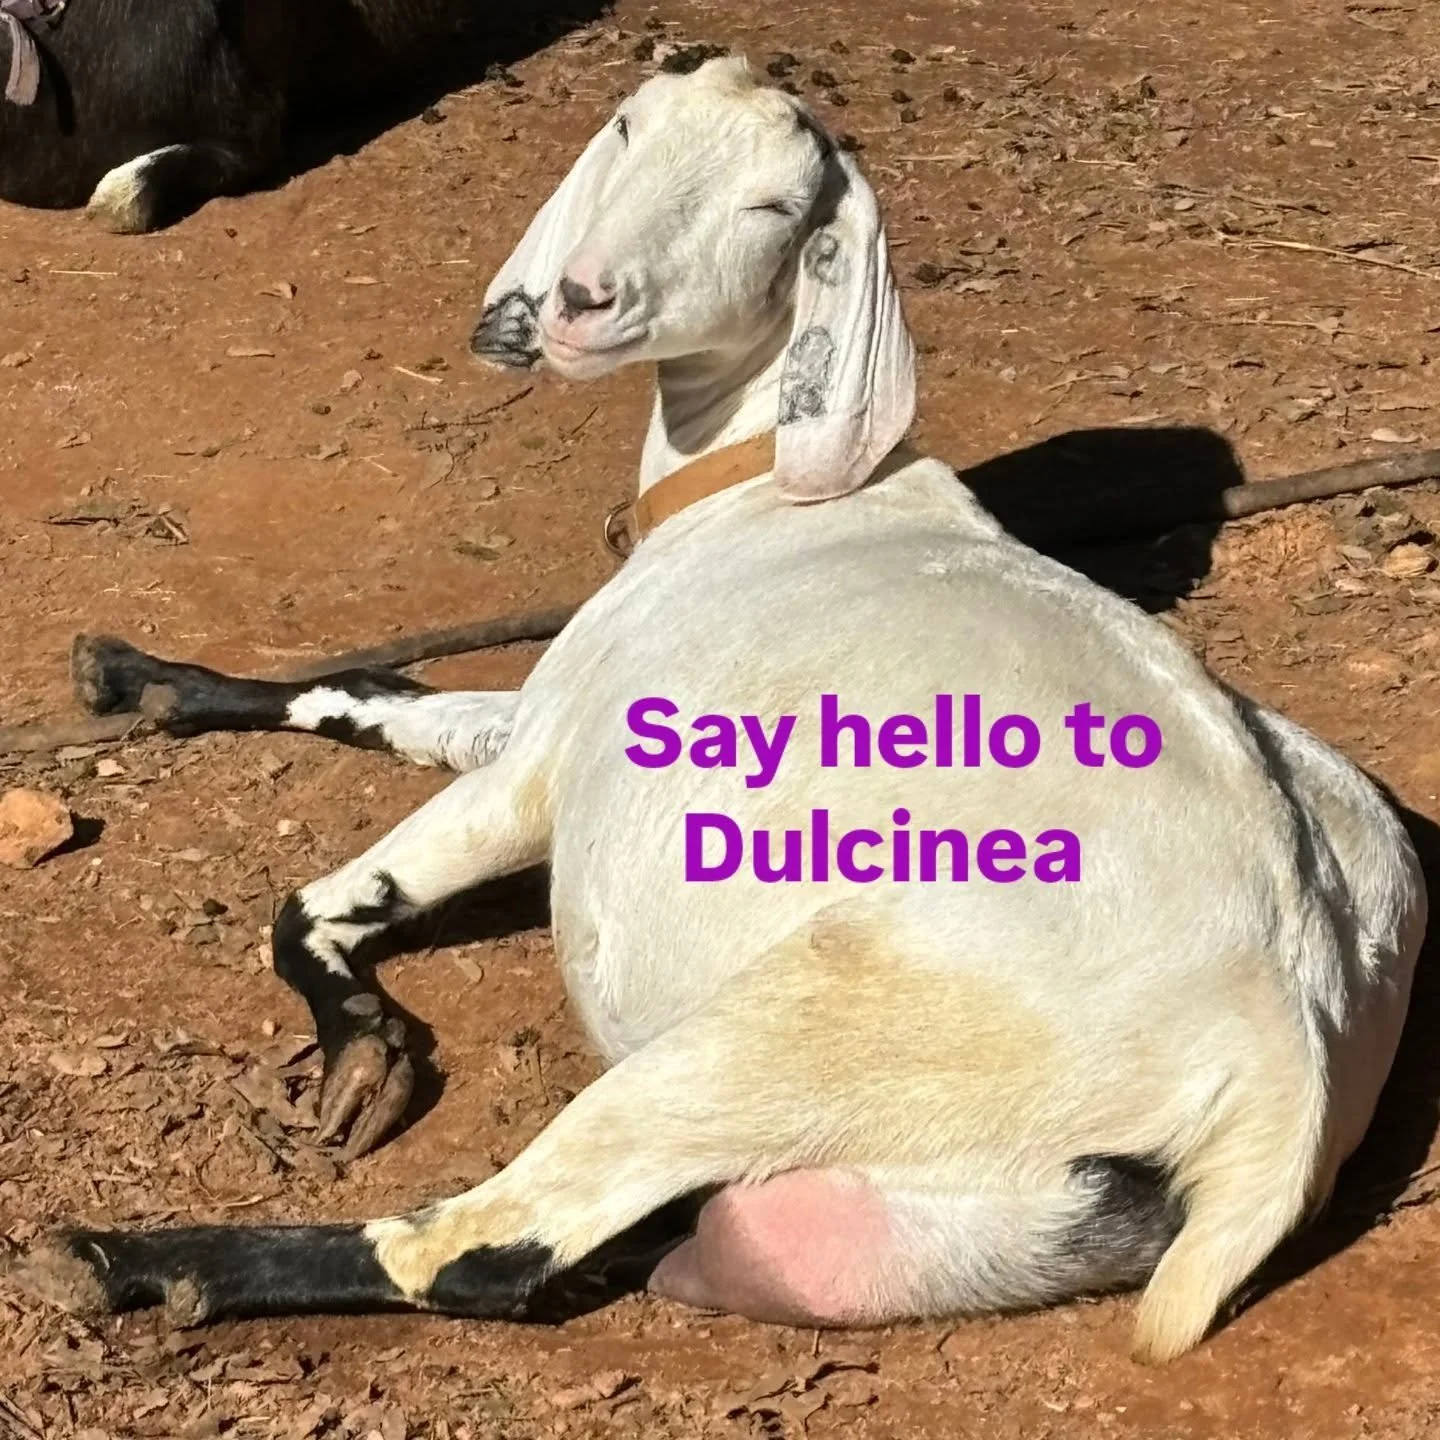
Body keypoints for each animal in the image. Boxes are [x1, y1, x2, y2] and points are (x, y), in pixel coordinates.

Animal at [10, 57, 1426, 1365]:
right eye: (629, 127)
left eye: (776, 206)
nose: (580, 299)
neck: (762, 490)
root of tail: (1281, 1048)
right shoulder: (540, 710)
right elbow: (380, 694)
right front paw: (142, 676)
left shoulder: (542, 773)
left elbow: (313, 903)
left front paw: (366, 1049)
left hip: (787, 1034)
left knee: (491, 1251)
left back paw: (136, 1261)